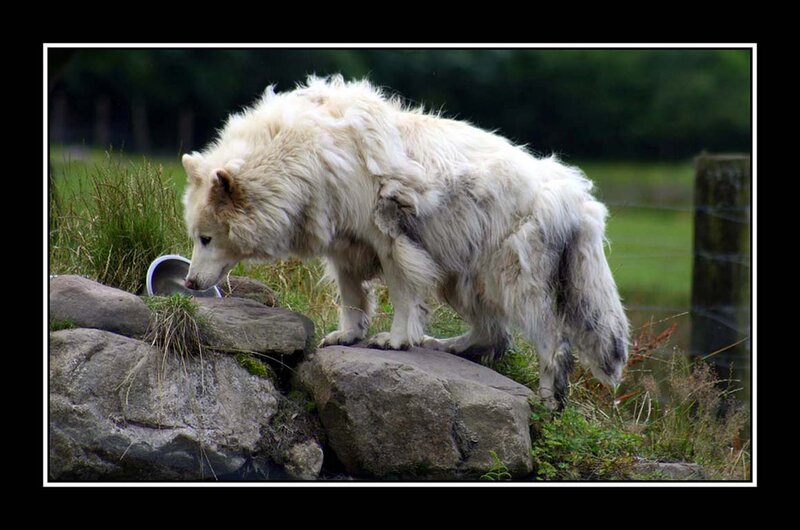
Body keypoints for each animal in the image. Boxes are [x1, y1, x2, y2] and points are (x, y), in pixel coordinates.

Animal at [181, 75, 629, 409]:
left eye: (206, 238)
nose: (188, 282)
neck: (307, 162)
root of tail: (581, 199)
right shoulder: (344, 241)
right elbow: (352, 296)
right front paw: (348, 335)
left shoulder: (392, 239)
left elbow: (401, 294)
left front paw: (394, 341)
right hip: (462, 276)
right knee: (495, 336)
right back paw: (448, 346)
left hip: (509, 276)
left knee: (551, 338)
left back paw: (548, 396)